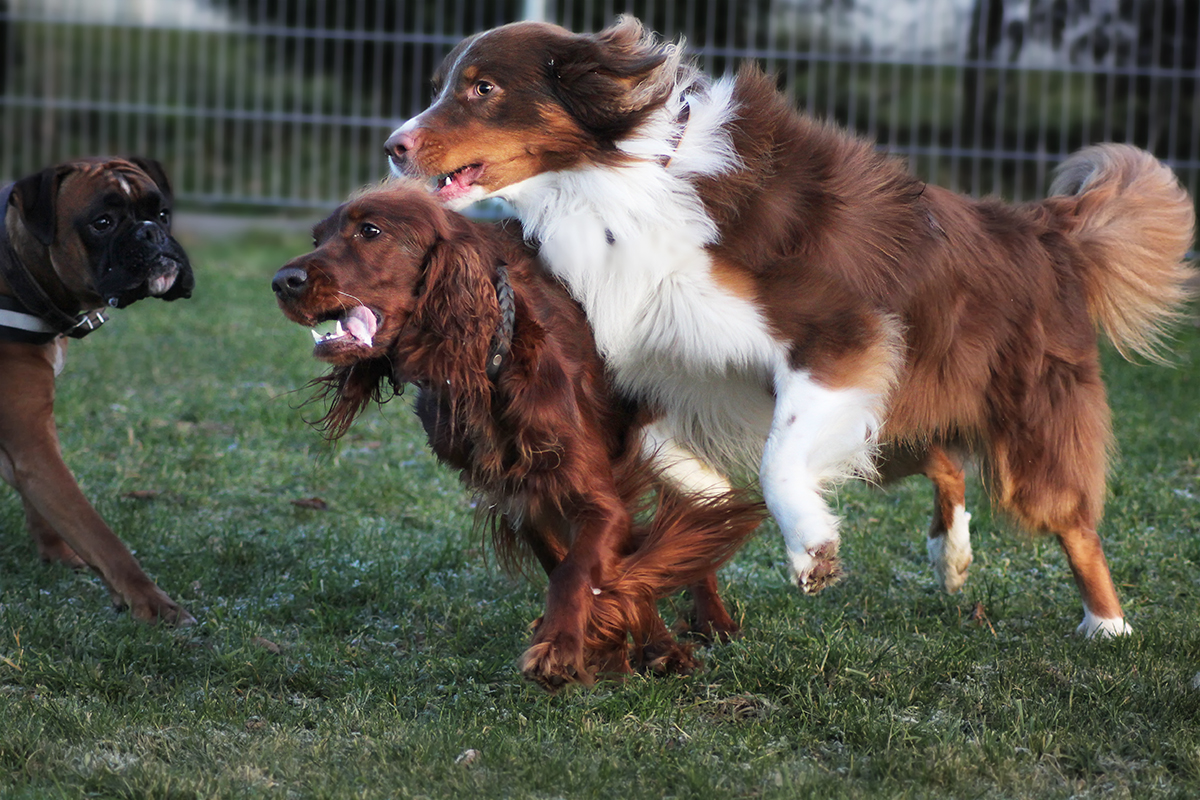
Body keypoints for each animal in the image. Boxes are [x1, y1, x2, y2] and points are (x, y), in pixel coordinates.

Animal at [1, 159, 194, 623]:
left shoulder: (27, 441)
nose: (151, 232)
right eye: (102, 223)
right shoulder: (32, 443)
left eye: (162, 213)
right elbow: (99, 532)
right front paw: (150, 601)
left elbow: (47, 508)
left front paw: (56, 554)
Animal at [272, 181, 758, 690]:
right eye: (317, 238)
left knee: (705, 511)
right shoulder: (525, 500)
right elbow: (575, 567)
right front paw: (609, 644)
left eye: (370, 231)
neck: (483, 369)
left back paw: (713, 619)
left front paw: (565, 647)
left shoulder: (595, 497)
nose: (282, 282)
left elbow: (578, 571)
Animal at [388, 17, 1195, 638]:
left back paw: (1107, 625)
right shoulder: (668, 365)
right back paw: (951, 554)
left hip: (1018, 417)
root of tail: (1043, 228)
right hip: (900, 408)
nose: (394, 146)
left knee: (1072, 521)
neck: (622, 181)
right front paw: (712, 507)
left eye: (482, 89)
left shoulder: (840, 339)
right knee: (941, 458)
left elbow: (781, 455)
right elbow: (664, 450)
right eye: (442, 84)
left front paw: (811, 549)